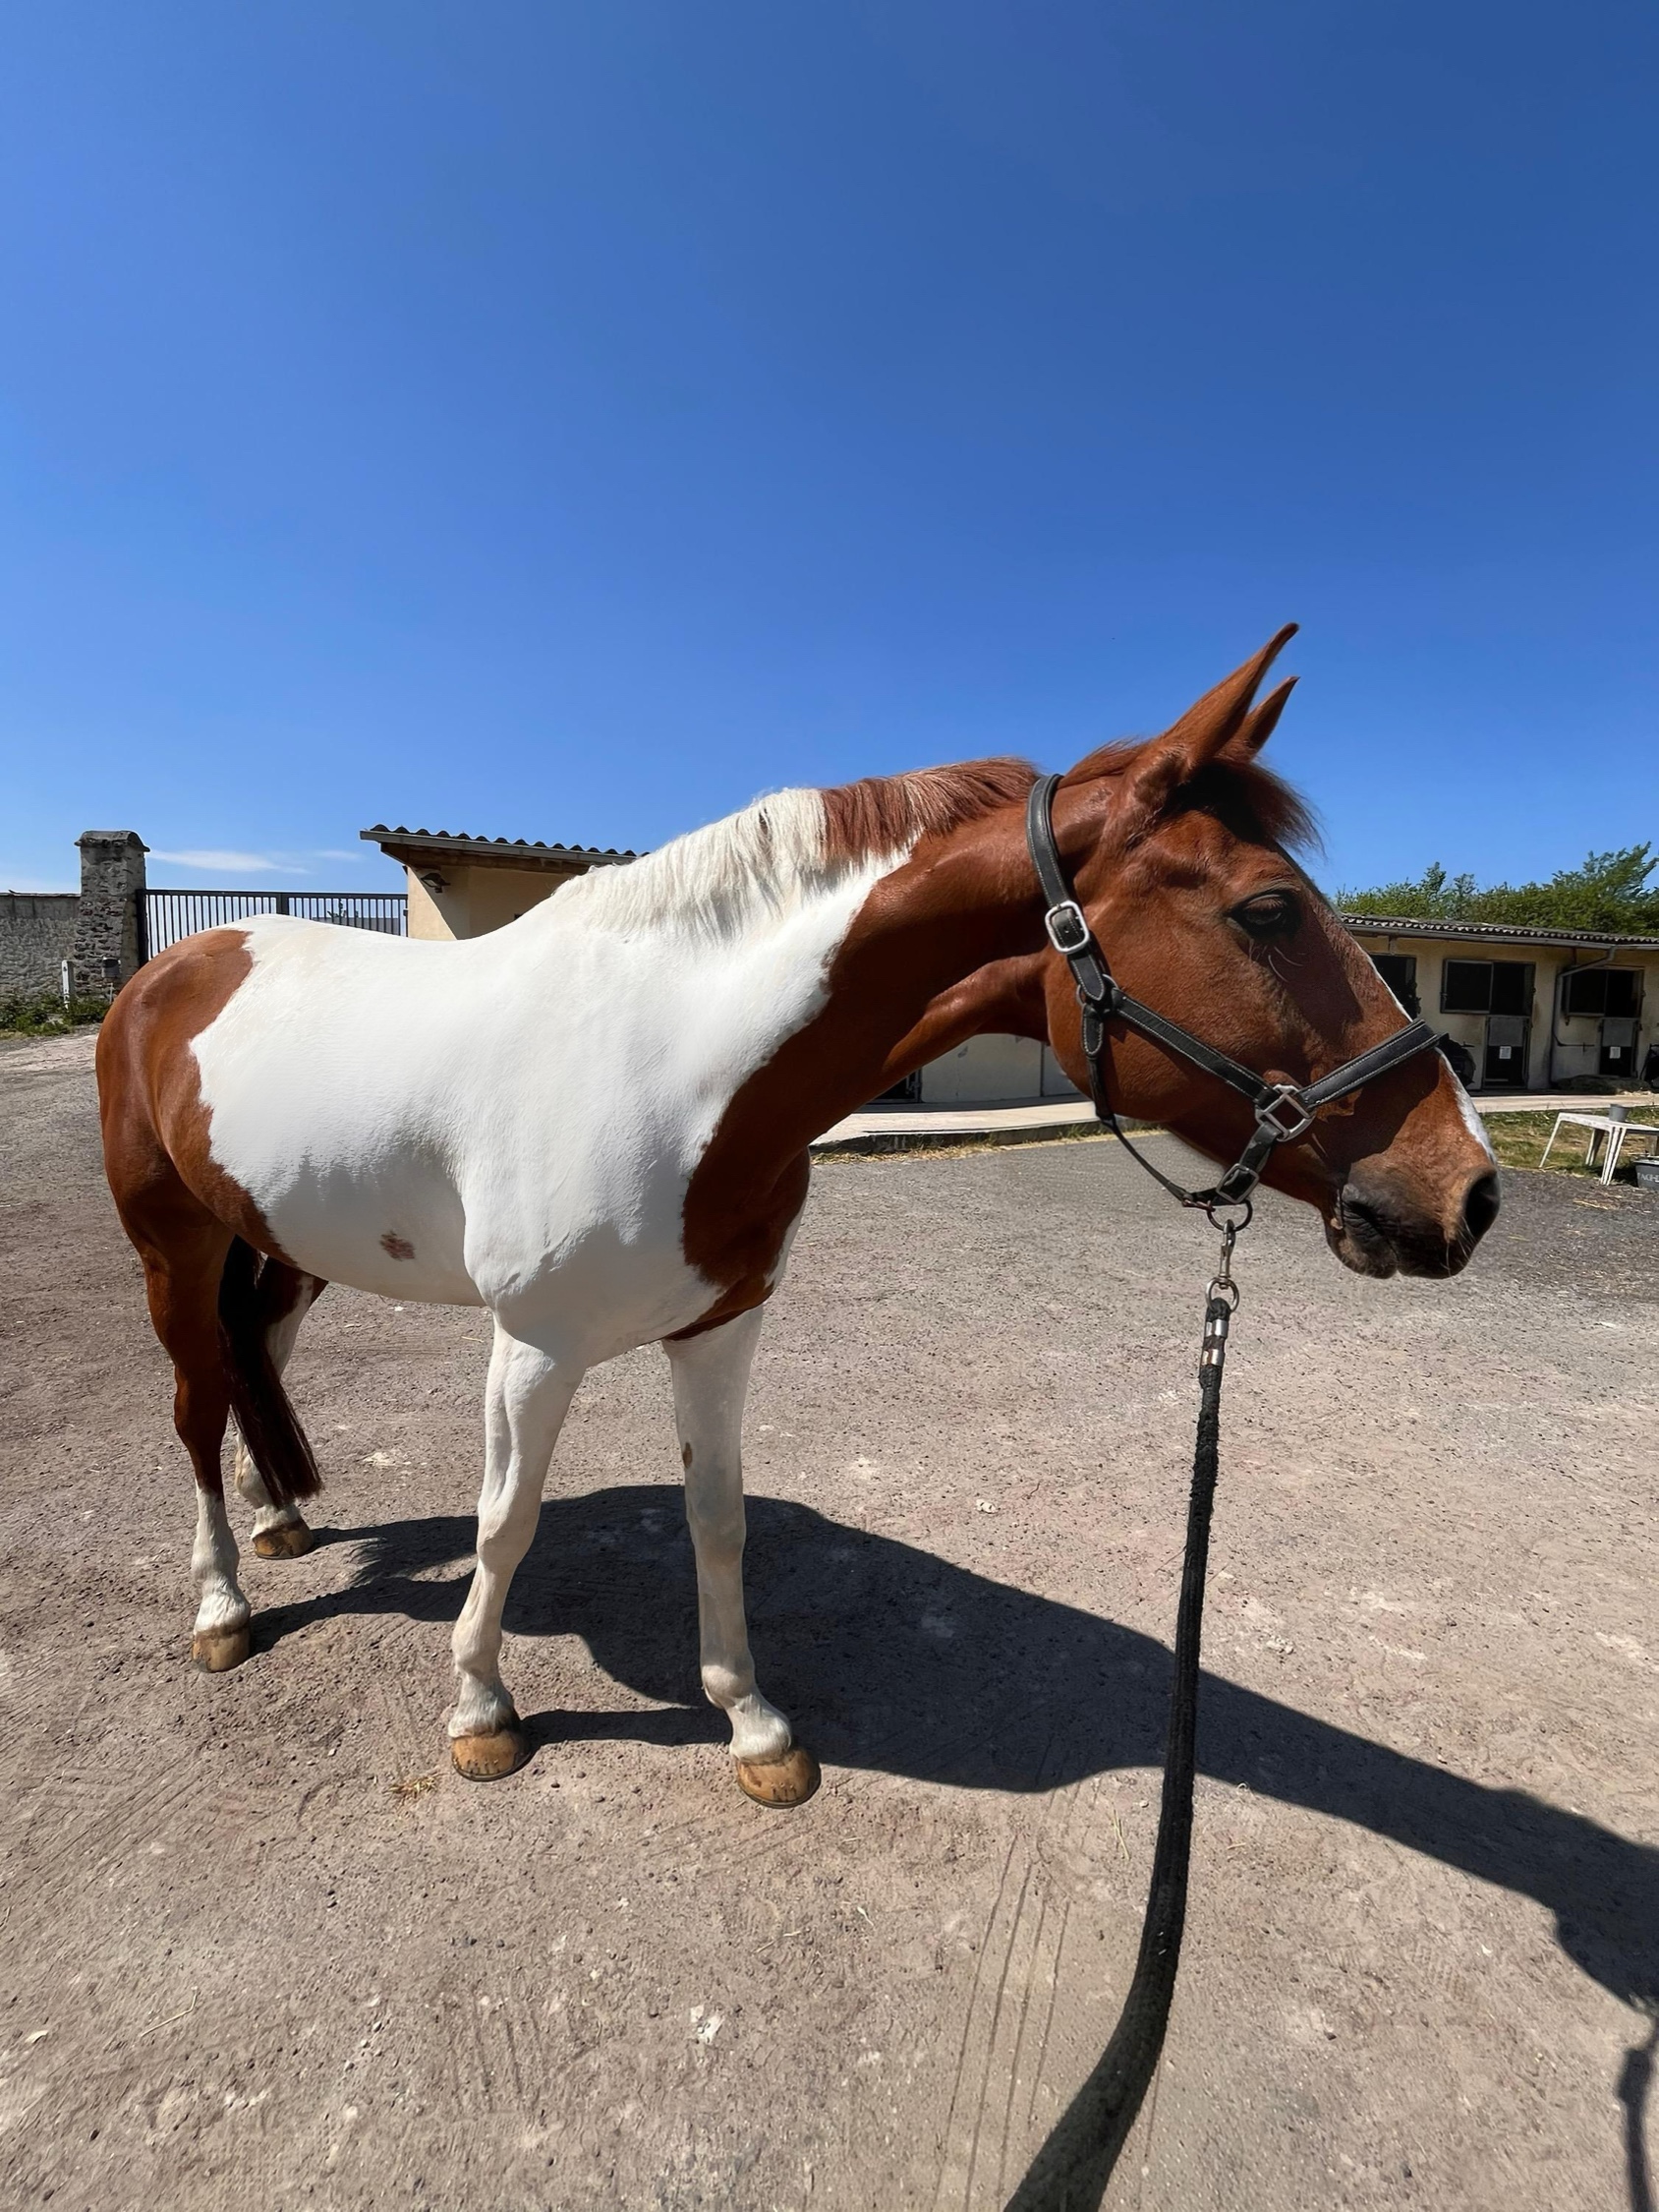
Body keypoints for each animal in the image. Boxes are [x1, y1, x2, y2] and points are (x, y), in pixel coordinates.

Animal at [98, 627, 1498, 1807]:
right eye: (1267, 909)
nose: (1467, 1189)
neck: (673, 1066)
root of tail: (171, 968)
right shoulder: (533, 1347)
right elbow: (507, 1524)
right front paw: (482, 1711)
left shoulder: (721, 1327)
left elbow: (718, 1518)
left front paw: (752, 1726)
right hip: (174, 1248)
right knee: (194, 1402)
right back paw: (221, 1605)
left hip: (281, 1245)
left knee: (258, 1358)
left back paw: (280, 1517)